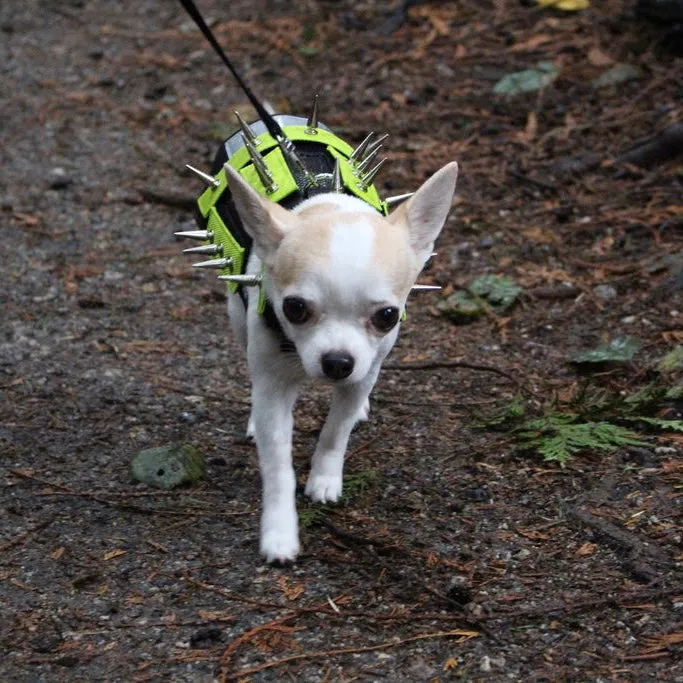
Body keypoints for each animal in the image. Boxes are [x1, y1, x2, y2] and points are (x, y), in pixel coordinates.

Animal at [224, 163, 460, 564]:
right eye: (295, 308)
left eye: (387, 316)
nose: (337, 361)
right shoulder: (273, 385)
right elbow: (277, 465)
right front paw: (279, 532)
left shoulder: (363, 372)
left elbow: (336, 430)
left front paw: (324, 478)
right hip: (238, 317)